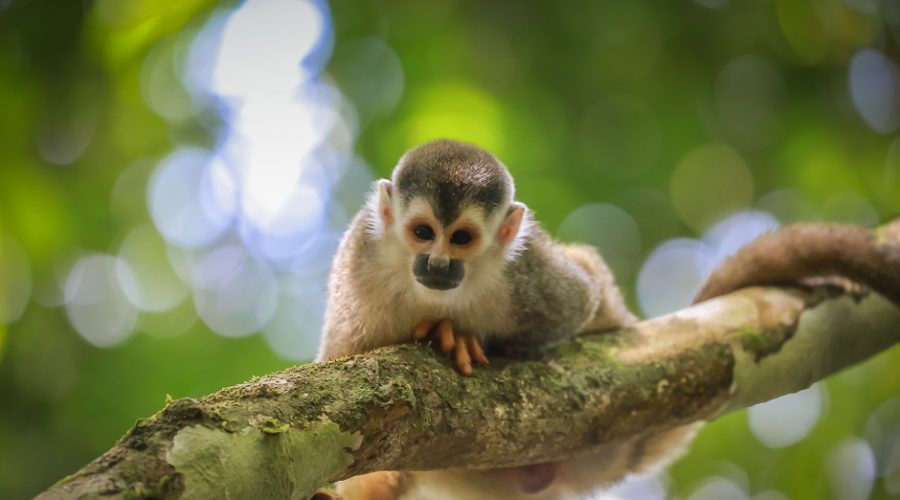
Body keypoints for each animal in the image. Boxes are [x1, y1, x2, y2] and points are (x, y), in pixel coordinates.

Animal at [315, 139, 900, 499]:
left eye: (460, 238)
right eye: (421, 232)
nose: (438, 264)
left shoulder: (528, 273)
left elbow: (580, 301)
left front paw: (455, 334)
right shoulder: (360, 260)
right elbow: (351, 381)